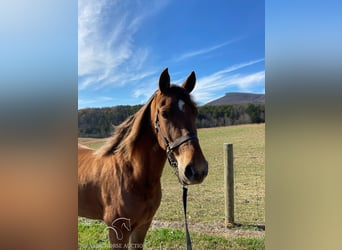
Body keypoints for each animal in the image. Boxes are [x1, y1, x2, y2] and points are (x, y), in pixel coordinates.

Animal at [79, 68, 208, 248]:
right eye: (165, 113)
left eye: (195, 112)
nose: (197, 170)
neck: (132, 175)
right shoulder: (117, 231)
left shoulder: (142, 227)